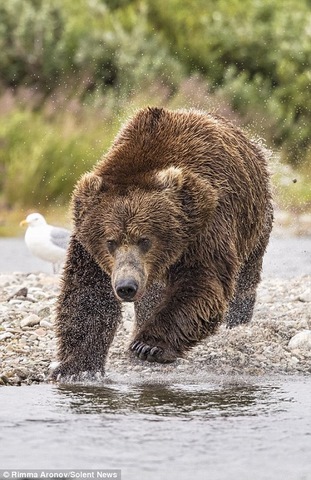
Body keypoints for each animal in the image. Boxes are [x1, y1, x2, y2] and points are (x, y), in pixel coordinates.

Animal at [52, 107, 274, 380]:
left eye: (144, 239)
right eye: (111, 242)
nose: (126, 286)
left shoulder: (205, 225)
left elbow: (202, 283)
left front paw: (149, 345)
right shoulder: (88, 241)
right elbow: (86, 292)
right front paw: (76, 367)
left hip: (254, 219)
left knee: (246, 276)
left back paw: (238, 321)